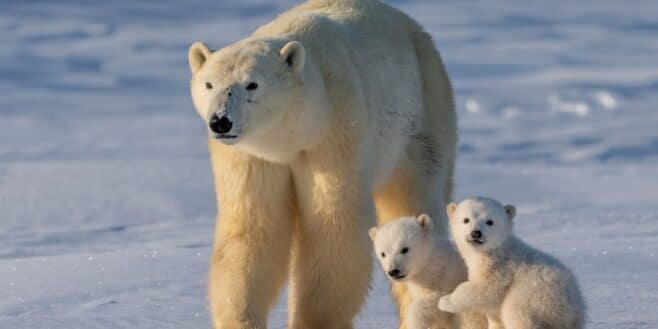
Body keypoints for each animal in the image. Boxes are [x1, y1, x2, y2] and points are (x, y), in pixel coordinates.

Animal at [187, 0, 456, 328]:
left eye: (252, 84)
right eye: (209, 84)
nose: (220, 121)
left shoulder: (335, 132)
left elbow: (334, 226)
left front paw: (313, 319)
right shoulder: (252, 156)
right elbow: (251, 229)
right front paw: (241, 318)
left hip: (421, 117)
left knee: (413, 199)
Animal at [436, 197, 584, 328]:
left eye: (490, 222)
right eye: (466, 219)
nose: (476, 233)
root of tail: (575, 311)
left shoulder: (501, 267)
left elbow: (485, 289)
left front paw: (444, 301)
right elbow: (494, 317)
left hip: (535, 296)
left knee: (517, 314)